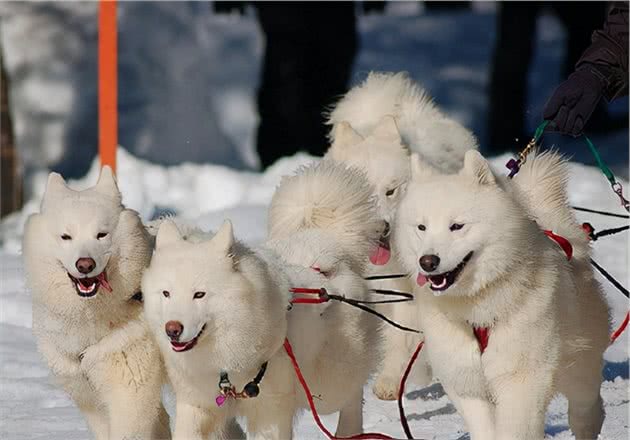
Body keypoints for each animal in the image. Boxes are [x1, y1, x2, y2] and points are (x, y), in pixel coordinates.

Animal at [143, 162, 380, 440]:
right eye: (166, 294)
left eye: (199, 294)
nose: (172, 329)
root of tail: (328, 246)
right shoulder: (196, 405)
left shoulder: (270, 409)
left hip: (329, 382)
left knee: (352, 396)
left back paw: (348, 431)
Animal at [326, 71, 478, 398]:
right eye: (362, 195)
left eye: (390, 191)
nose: (381, 227)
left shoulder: (408, 291)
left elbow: (400, 338)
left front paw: (390, 381)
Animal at [396, 150, 612, 438]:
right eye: (421, 227)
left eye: (457, 226)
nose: (427, 262)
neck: (478, 305)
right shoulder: (466, 381)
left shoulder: (519, 379)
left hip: (578, 369)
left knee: (586, 409)